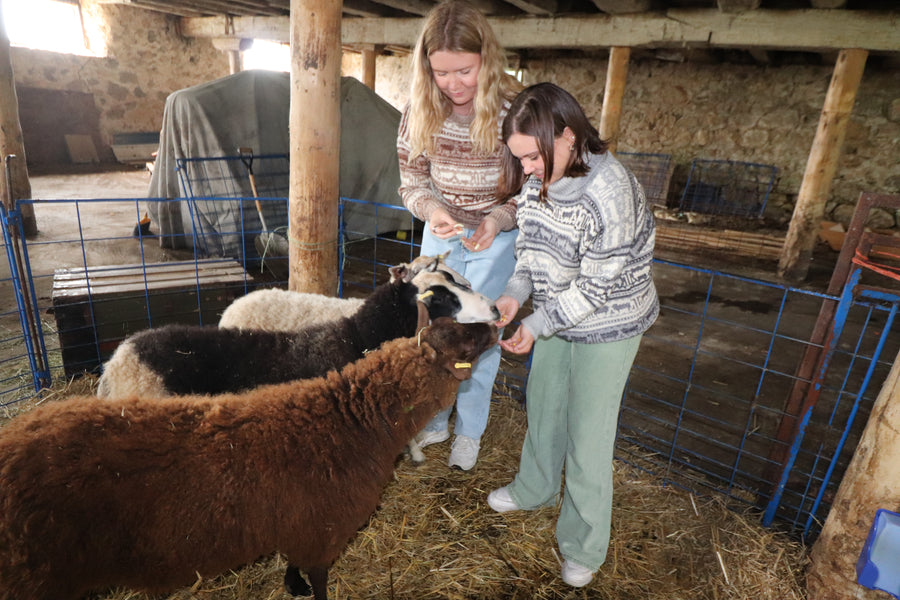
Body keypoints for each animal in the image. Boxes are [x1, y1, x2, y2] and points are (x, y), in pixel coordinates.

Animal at [0, 318, 499, 600]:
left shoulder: (300, 523)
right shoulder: (324, 528)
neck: (354, 420)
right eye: (463, 339)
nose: (498, 324)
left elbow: (294, 564)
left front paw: (291, 585)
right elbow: (319, 582)